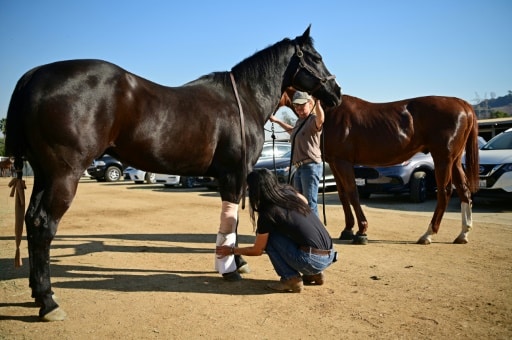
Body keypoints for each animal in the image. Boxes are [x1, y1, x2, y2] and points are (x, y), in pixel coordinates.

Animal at [5, 27, 344, 322]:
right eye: (315, 57)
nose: (336, 92)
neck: (243, 100)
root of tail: (34, 76)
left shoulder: (225, 178)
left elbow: (229, 222)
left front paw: (234, 261)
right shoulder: (234, 175)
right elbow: (231, 222)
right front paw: (232, 267)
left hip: (45, 174)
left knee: (32, 220)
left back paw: (38, 292)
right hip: (64, 175)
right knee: (44, 225)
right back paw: (48, 302)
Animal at [278, 89, 478, 244]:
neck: (327, 112)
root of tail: (463, 105)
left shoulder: (343, 162)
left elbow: (352, 193)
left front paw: (361, 231)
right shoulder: (334, 163)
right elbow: (343, 195)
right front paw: (347, 229)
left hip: (443, 159)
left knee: (444, 192)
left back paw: (428, 234)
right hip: (455, 160)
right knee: (464, 190)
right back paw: (463, 234)